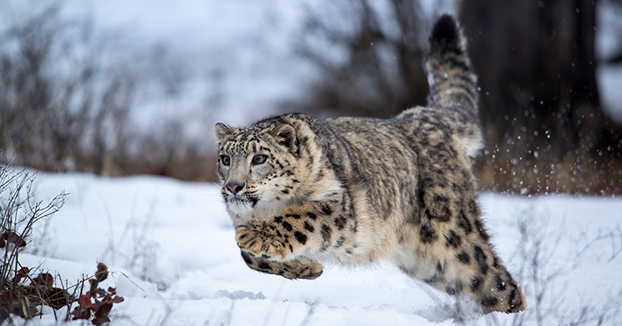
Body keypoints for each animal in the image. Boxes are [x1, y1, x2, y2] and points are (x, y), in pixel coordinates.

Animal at [214, 14, 528, 314]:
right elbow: (247, 256)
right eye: (226, 159)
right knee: (484, 286)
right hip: (429, 262)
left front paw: (254, 236)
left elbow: (297, 219)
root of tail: (424, 114)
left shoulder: (338, 206)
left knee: (497, 280)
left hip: (453, 235)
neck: (265, 210)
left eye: (259, 158)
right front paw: (306, 267)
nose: (233, 186)